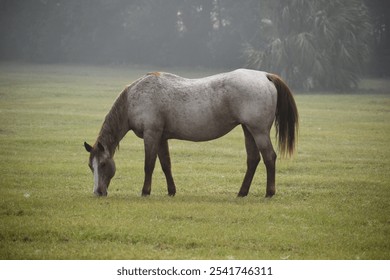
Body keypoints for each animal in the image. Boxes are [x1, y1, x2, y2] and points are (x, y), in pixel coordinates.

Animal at [84, 69, 298, 198]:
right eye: (90, 166)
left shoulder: (151, 134)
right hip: (248, 130)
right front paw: (171, 191)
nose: (98, 192)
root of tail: (264, 75)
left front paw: (145, 191)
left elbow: (149, 165)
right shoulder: (161, 137)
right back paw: (242, 192)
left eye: (103, 164)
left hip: (259, 131)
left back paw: (269, 192)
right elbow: (166, 165)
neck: (134, 99)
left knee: (269, 157)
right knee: (253, 159)